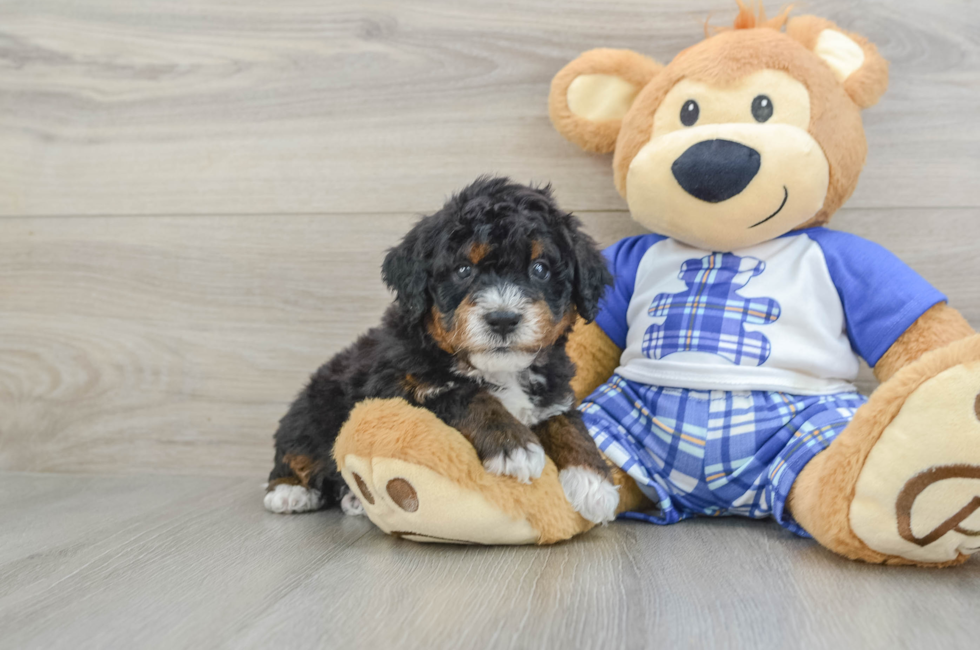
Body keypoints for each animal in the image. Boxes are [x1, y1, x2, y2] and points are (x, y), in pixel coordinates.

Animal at [262, 176, 620, 520]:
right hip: (311, 410)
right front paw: (514, 445)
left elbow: (566, 421)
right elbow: (465, 393)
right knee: (295, 451)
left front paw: (594, 482)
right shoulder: (398, 387)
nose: (503, 319)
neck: (497, 370)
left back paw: (353, 499)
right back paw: (290, 491)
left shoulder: (553, 391)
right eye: (464, 270)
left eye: (540, 269)